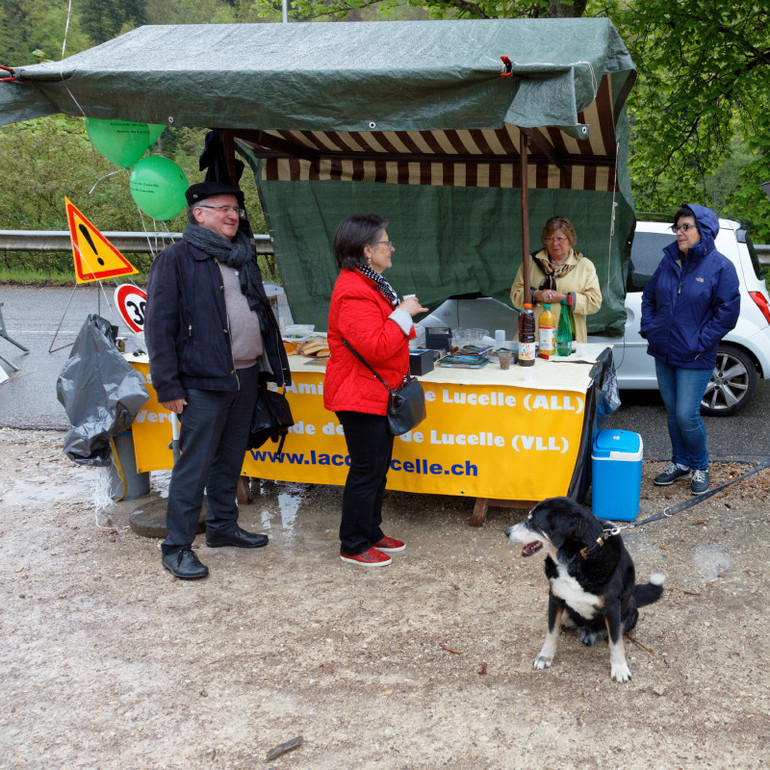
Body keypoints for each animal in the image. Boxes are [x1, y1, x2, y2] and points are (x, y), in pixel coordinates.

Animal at [504, 496, 660, 680]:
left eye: (533, 521)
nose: (506, 532)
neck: (576, 558)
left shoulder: (612, 607)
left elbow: (615, 642)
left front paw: (619, 668)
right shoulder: (555, 598)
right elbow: (551, 631)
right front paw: (545, 656)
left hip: (630, 613)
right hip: (567, 614)